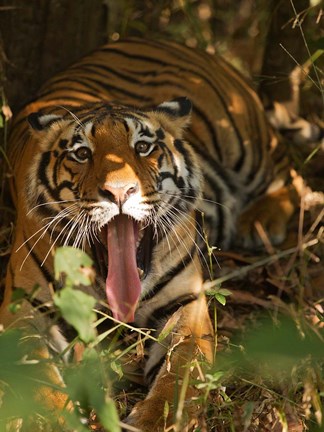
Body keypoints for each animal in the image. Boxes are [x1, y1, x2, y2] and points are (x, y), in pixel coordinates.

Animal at [0, 38, 296, 430]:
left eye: (143, 147)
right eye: (82, 153)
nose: (119, 191)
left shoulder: (187, 303)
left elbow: (180, 374)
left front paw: (156, 420)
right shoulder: (23, 310)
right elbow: (39, 384)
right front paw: (61, 420)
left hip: (244, 142)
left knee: (290, 170)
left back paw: (261, 220)